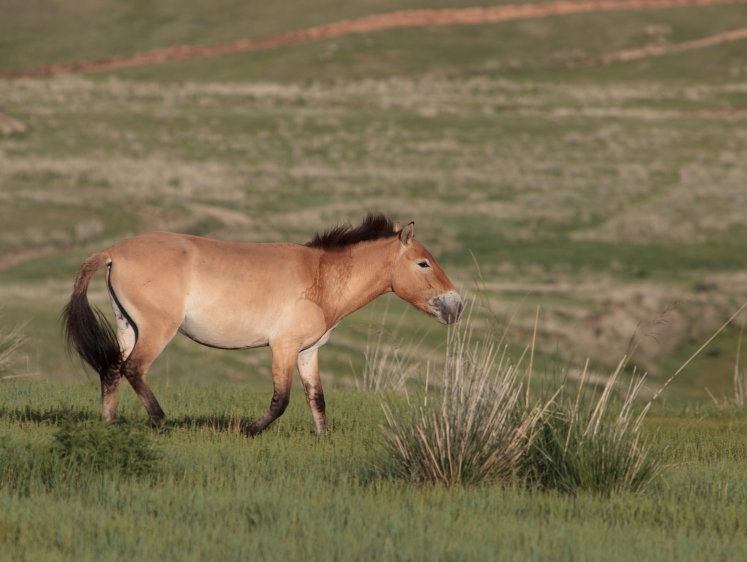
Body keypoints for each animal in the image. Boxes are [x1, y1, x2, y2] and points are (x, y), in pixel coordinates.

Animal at [62, 212, 462, 436]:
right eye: (423, 263)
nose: (457, 305)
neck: (322, 276)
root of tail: (114, 251)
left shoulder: (307, 352)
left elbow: (317, 399)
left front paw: (323, 439)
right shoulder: (283, 347)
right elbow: (280, 400)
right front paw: (248, 430)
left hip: (127, 326)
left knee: (112, 369)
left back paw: (109, 423)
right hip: (158, 330)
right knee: (134, 369)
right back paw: (161, 421)